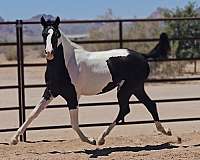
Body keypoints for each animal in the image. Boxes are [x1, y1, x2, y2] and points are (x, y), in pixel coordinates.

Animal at [10, 16, 171, 146]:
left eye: (56, 34)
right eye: (44, 34)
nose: (49, 53)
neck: (67, 64)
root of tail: (142, 56)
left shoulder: (72, 96)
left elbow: (74, 124)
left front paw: (90, 140)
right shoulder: (51, 91)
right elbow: (33, 114)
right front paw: (14, 139)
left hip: (127, 88)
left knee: (127, 109)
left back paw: (100, 138)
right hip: (135, 88)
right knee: (147, 105)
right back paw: (165, 131)